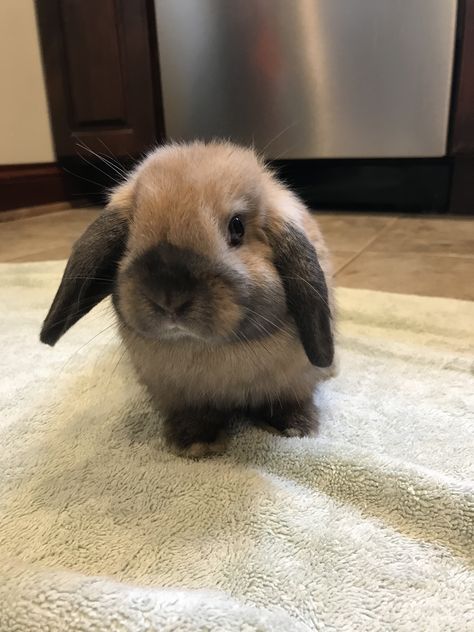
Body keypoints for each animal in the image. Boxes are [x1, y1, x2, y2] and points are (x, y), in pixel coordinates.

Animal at [41, 141, 336, 456]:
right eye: (131, 232)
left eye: (237, 227)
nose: (169, 298)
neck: (205, 348)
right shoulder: (177, 393)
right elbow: (195, 415)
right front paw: (194, 442)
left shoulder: (294, 379)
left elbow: (288, 401)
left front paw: (296, 427)